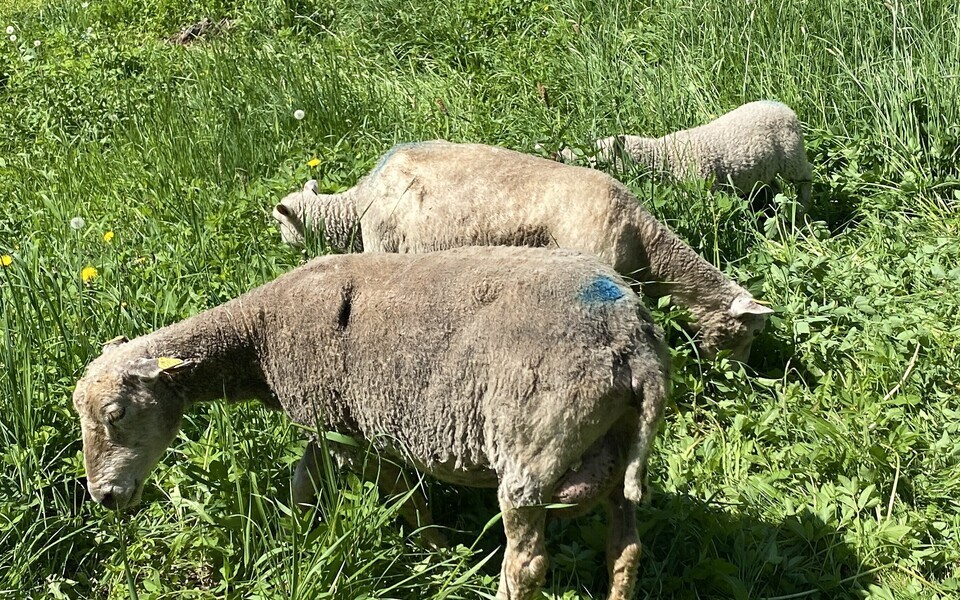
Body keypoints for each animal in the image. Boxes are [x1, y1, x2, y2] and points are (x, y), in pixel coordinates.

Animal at [73, 245, 669, 600]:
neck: (255, 337)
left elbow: (399, 494)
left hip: (533, 446)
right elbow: (306, 481)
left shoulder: (344, 428)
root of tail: (632, 341)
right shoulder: (329, 420)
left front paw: (432, 550)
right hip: (613, 447)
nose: (103, 497)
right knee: (626, 548)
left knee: (527, 565)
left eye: (115, 413)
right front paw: (293, 534)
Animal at [559, 100, 813, 207]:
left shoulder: (701, 186)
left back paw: (802, 208)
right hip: (766, 167)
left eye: (597, 164)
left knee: (805, 177)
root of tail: (784, 107)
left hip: (792, 155)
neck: (664, 156)